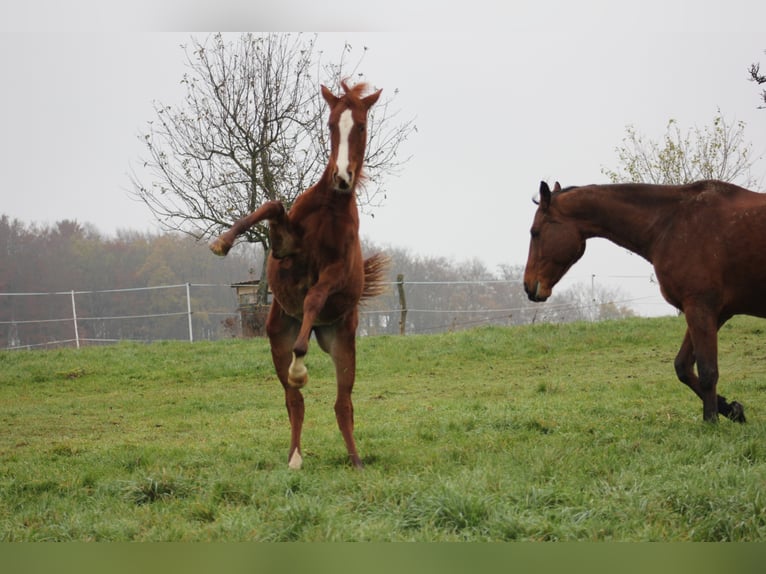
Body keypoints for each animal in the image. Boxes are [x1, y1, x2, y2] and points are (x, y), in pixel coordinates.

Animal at [212, 81, 388, 470]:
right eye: (332, 124)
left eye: (361, 126)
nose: (342, 178)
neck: (331, 206)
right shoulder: (285, 248)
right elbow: (271, 205)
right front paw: (223, 241)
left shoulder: (336, 271)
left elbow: (314, 297)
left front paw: (300, 365)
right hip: (277, 338)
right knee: (295, 402)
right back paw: (295, 458)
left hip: (343, 344)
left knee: (342, 404)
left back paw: (356, 459)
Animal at [524, 180, 766, 424]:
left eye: (535, 232)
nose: (528, 285)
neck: (673, 223)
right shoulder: (713, 313)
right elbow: (683, 367)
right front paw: (733, 410)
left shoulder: (701, 309)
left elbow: (708, 372)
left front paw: (712, 421)